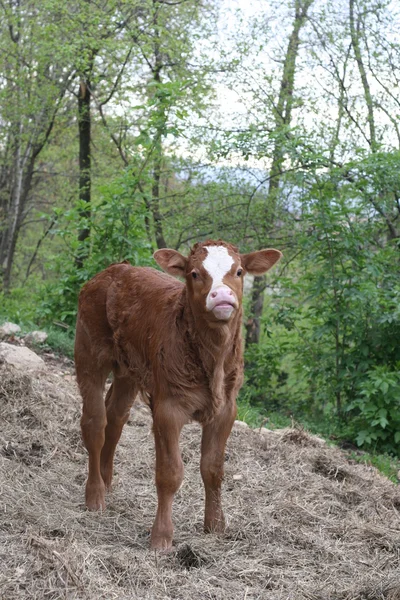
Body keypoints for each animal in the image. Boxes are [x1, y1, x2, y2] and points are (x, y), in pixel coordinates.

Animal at [75, 238, 282, 548]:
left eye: (239, 271)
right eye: (194, 273)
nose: (222, 295)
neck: (213, 361)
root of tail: (115, 269)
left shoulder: (226, 408)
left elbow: (213, 468)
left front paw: (215, 526)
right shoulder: (167, 408)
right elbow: (170, 472)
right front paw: (161, 538)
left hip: (129, 370)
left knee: (115, 419)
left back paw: (106, 481)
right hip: (90, 352)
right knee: (95, 423)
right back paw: (95, 495)